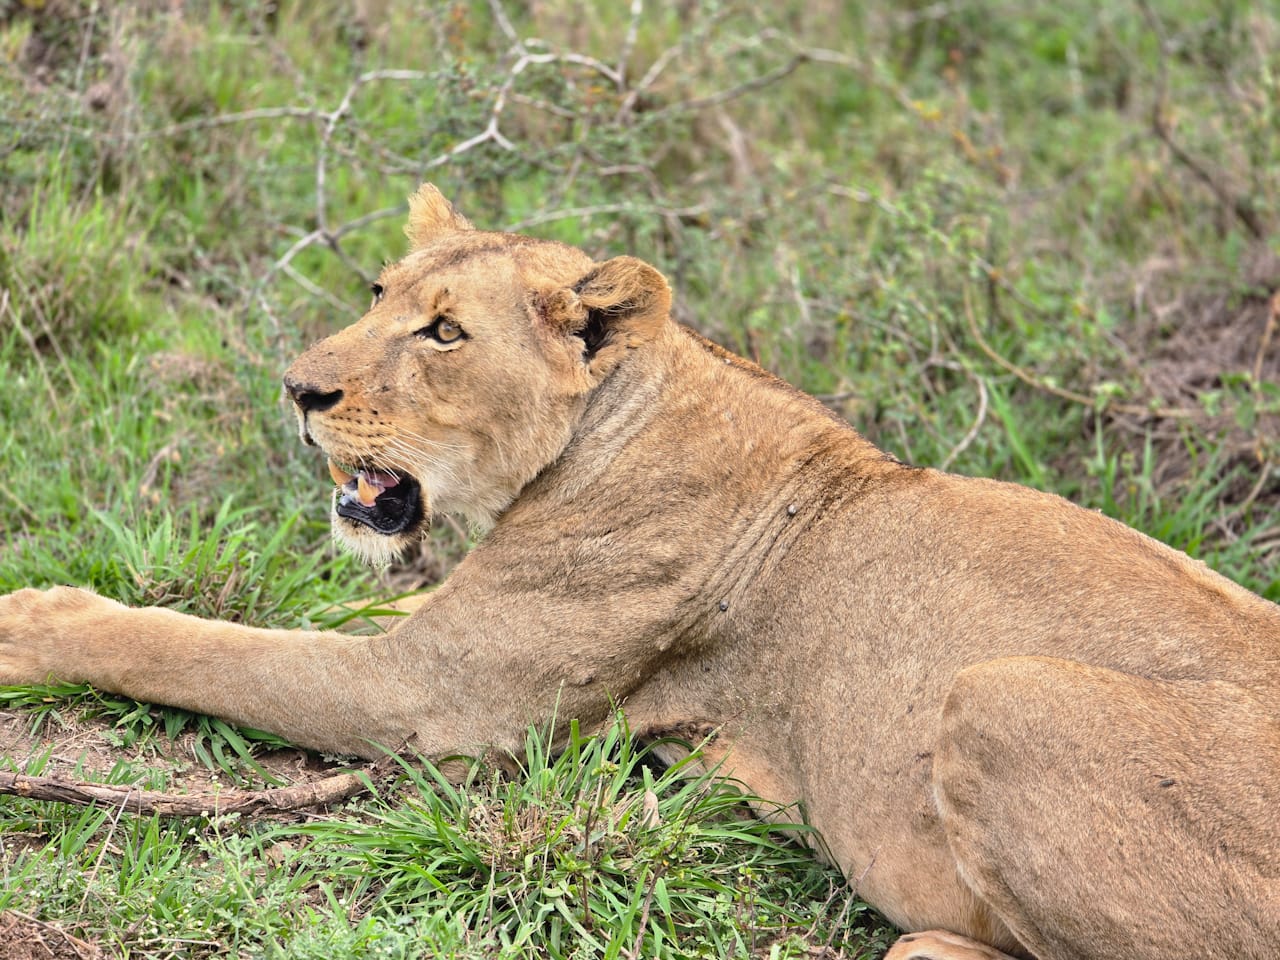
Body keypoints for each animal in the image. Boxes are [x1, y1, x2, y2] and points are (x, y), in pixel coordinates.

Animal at [2, 183, 1278, 960]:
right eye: (375, 298)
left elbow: (200, 646)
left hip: (996, 692)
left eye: (443, 334)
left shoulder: (429, 704)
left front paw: (33, 617)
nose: (297, 389)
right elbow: (321, 602)